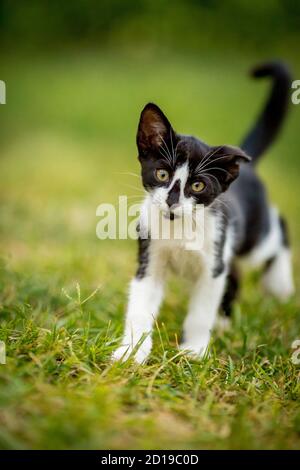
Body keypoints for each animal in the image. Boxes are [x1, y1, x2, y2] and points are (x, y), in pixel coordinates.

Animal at [112, 61, 296, 364]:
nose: (172, 201)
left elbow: (201, 310)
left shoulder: (212, 264)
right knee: (235, 273)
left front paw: (194, 349)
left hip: (253, 241)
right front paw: (131, 351)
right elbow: (139, 306)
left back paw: (278, 282)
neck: (178, 228)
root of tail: (247, 167)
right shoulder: (149, 259)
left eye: (197, 185)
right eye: (162, 174)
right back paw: (224, 321)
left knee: (277, 227)